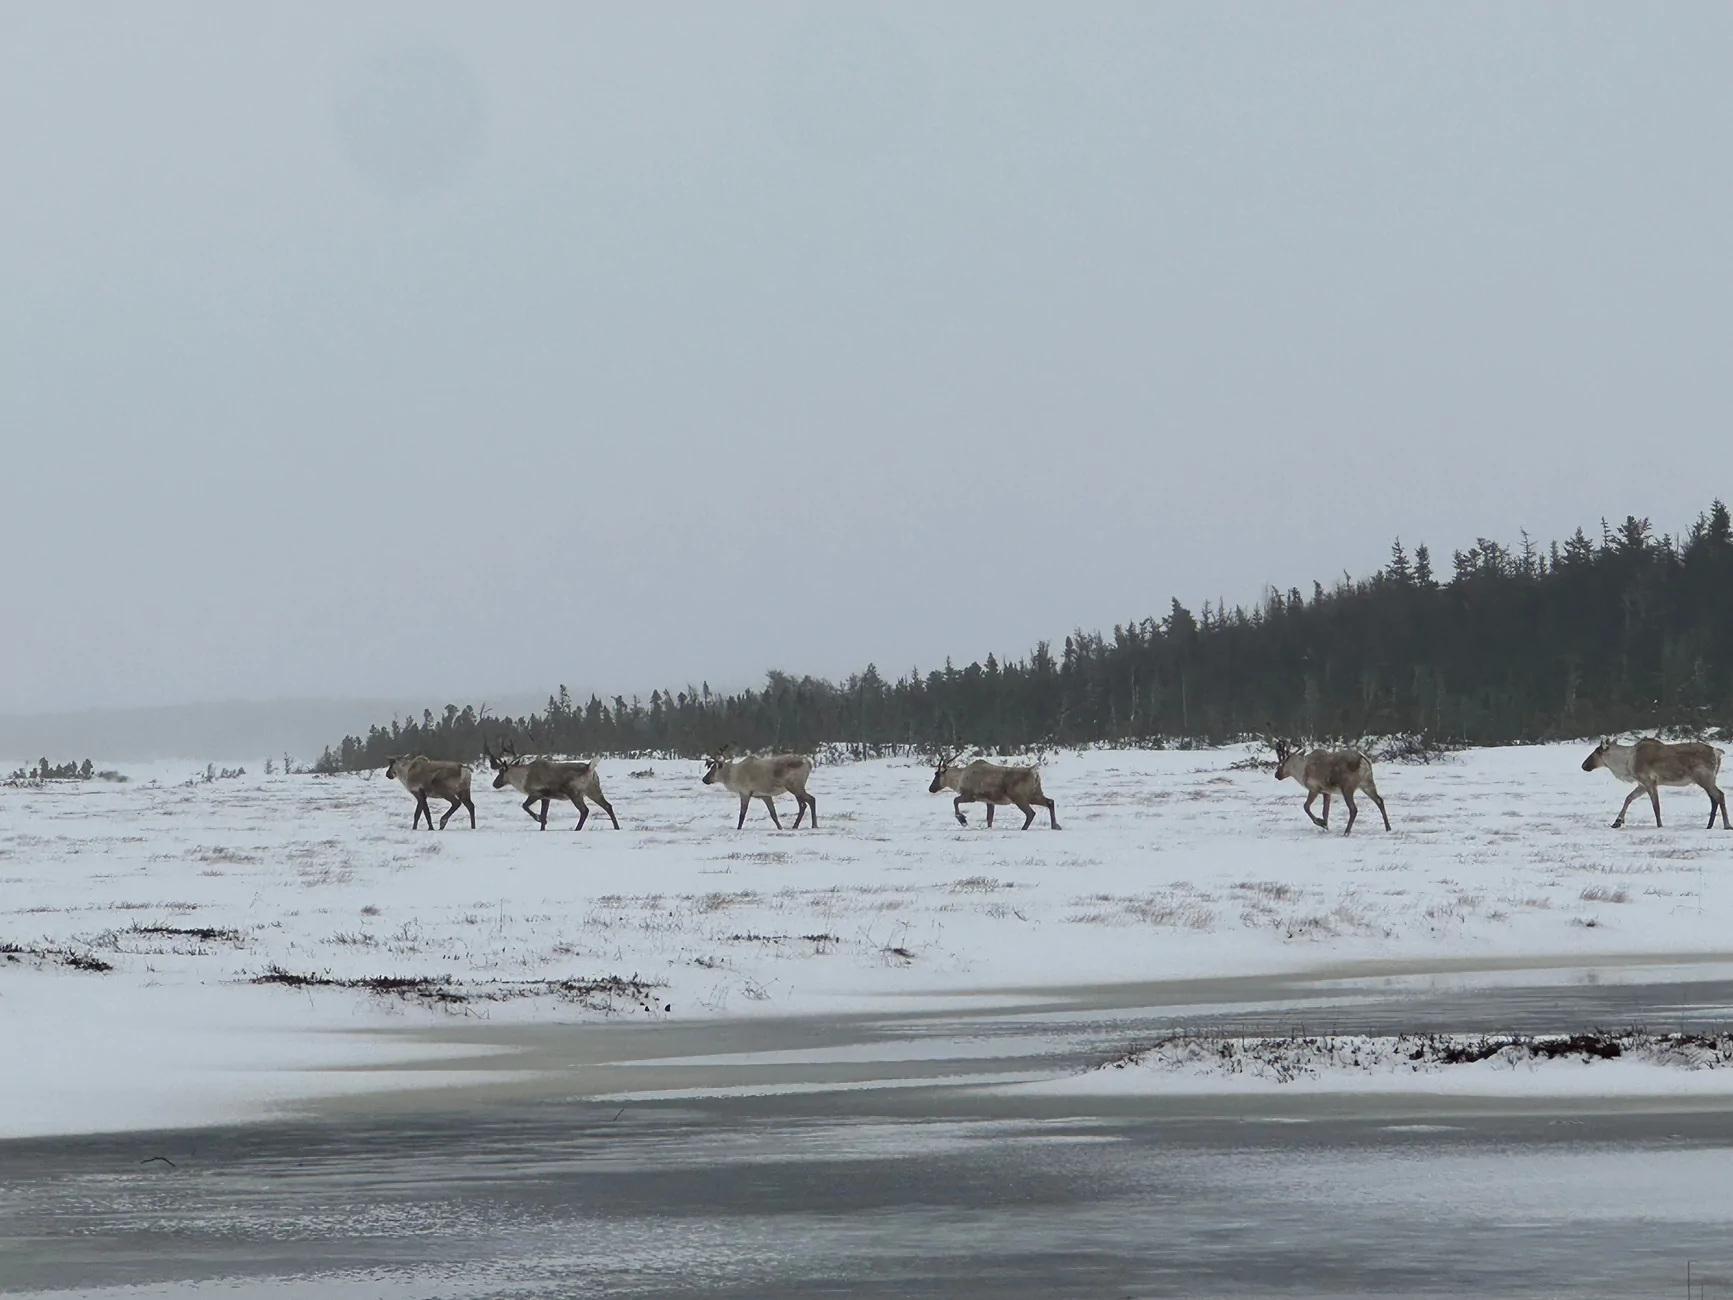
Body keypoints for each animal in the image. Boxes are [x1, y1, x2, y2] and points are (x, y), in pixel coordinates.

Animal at [484, 739, 619, 831]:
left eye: (501, 772)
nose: (494, 784)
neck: (523, 777)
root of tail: (589, 768)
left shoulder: (538, 793)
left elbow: (525, 806)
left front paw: (538, 818)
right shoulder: (546, 798)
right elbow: (544, 814)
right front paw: (542, 827)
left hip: (574, 793)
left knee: (585, 810)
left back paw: (577, 829)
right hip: (593, 790)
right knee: (608, 806)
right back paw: (617, 827)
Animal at [928, 749, 1060, 829]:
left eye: (936, 774)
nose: (931, 789)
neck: (960, 778)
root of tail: (1034, 773)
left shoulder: (970, 796)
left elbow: (955, 800)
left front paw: (963, 820)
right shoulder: (989, 801)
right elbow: (989, 818)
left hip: (1019, 798)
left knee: (1031, 813)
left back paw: (1024, 828)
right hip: (1034, 794)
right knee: (1050, 801)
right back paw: (1055, 826)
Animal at [1581, 737, 1729, 829]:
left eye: (1596, 751)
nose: (1583, 765)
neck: (1626, 763)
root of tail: (1717, 752)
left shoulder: (1649, 781)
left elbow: (1656, 806)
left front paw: (1660, 825)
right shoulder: (1642, 784)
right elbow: (1628, 798)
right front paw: (1617, 822)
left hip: (1704, 777)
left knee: (1719, 795)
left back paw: (1727, 825)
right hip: (1707, 779)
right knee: (1714, 799)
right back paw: (1709, 825)